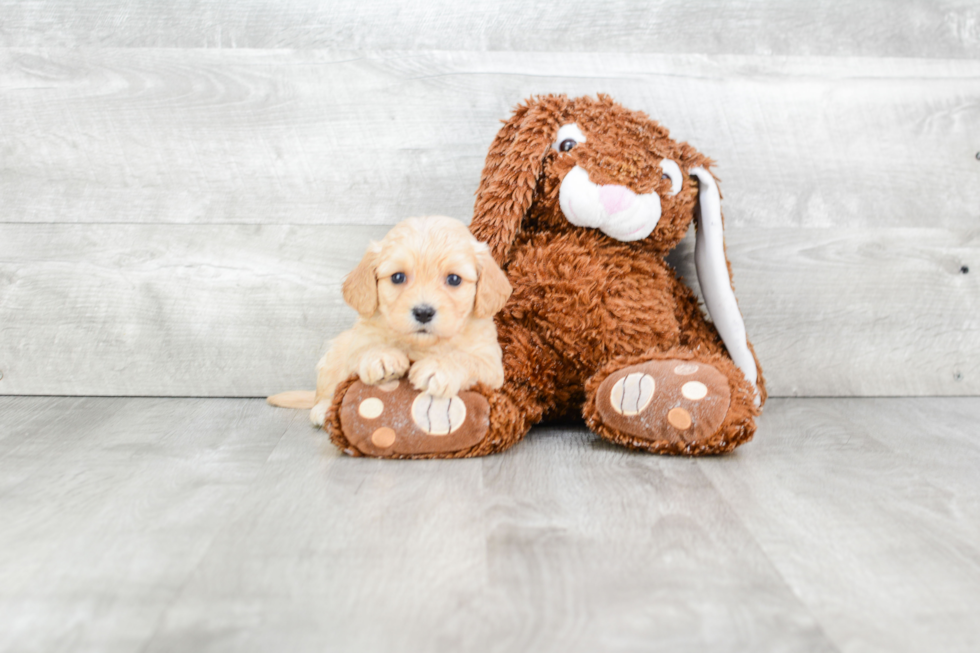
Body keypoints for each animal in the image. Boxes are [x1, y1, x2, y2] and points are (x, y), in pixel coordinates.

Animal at [268, 215, 512, 428]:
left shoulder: (491, 364)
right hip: (335, 354)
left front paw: (438, 367)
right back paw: (322, 409)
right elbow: (365, 350)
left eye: (454, 279)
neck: (421, 345)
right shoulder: (358, 343)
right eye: (398, 277)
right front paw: (382, 357)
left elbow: (466, 359)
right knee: (325, 391)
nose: (423, 312)